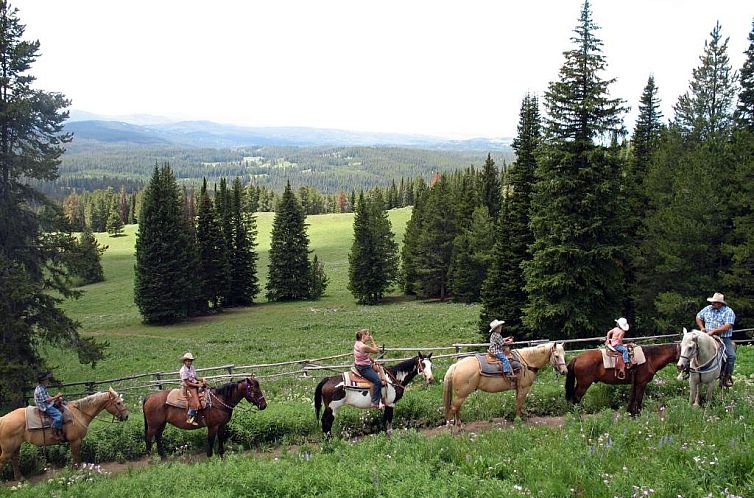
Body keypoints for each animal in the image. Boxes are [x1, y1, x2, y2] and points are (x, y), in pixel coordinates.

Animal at [0, 388, 128, 480]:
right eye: (118, 403)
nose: (126, 416)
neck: (78, 413)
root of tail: (2, 419)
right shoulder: (75, 441)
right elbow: (76, 457)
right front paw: (78, 473)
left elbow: (75, 457)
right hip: (7, 449)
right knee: (3, 461)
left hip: (16, 446)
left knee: (14, 459)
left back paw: (20, 478)